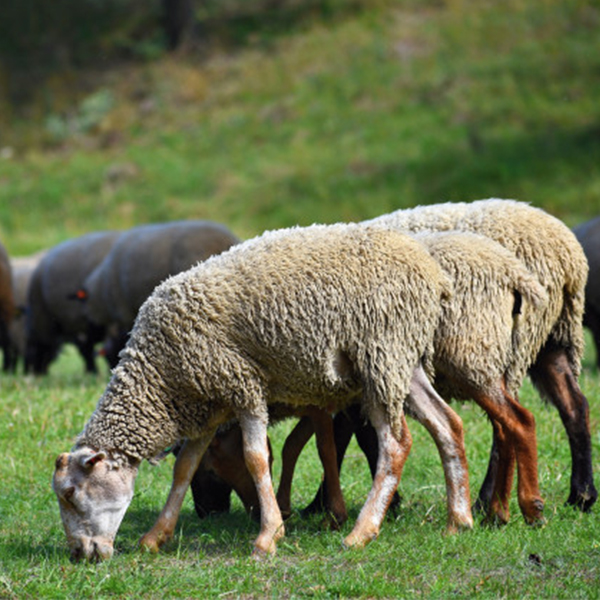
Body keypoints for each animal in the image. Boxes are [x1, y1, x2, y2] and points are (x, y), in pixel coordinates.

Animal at [366, 199, 596, 512]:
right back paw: (581, 495)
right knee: (574, 405)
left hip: (499, 348)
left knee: (506, 425)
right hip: (552, 340)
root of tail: (568, 255)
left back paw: (487, 502)